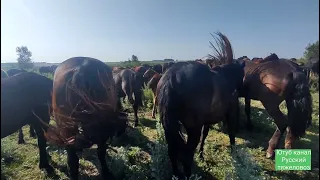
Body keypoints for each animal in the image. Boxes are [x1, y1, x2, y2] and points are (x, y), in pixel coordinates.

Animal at [158, 31, 245, 178]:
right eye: (243, 75)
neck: (227, 78)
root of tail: (171, 79)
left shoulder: (207, 120)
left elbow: (205, 134)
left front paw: (201, 155)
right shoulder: (231, 113)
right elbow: (231, 134)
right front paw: (234, 156)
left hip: (170, 128)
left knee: (172, 150)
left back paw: (176, 174)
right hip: (192, 129)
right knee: (186, 154)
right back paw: (188, 175)